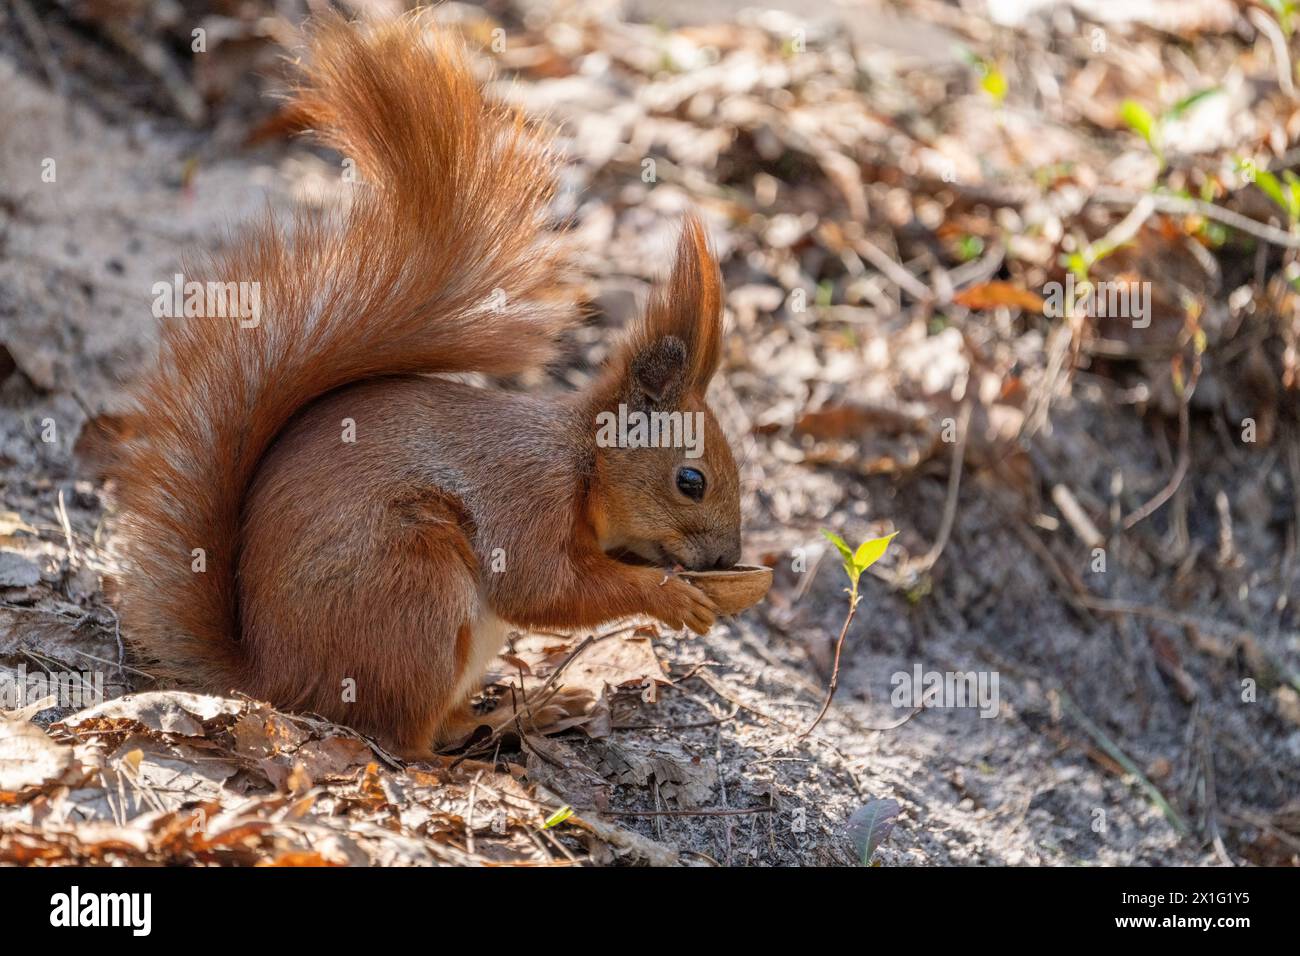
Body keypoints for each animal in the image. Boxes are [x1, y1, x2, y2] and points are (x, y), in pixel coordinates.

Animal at [111, 13, 743, 757]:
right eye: (691, 481)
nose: (727, 557)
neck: (586, 467)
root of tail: (274, 680)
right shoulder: (526, 497)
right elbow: (542, 589)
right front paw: (667, 595)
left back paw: (519, 714)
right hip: (416, 591)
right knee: (403, 737)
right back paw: (473, 750)